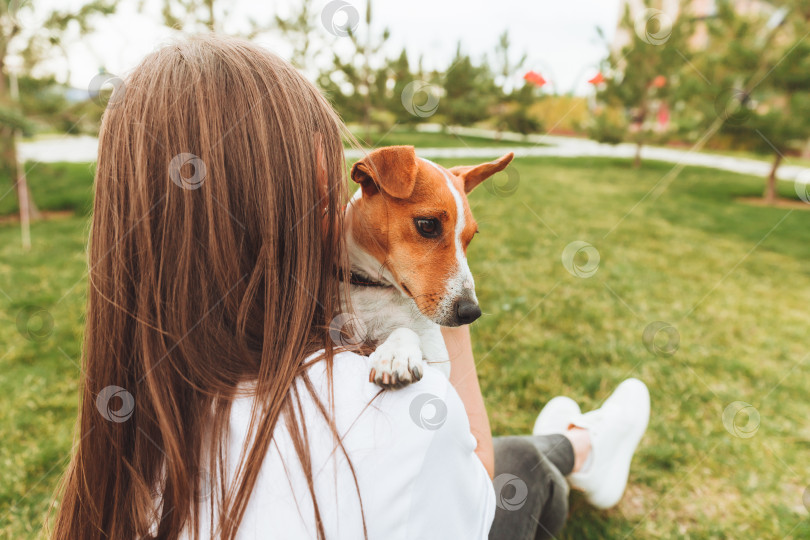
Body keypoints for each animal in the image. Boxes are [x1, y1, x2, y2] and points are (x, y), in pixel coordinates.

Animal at [340, 144, 512, 388]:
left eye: (471, 236)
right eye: (428, 225)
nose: (471, 312)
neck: (374, 288)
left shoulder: (439, 360)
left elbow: (405, 330)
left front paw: (395, 354)